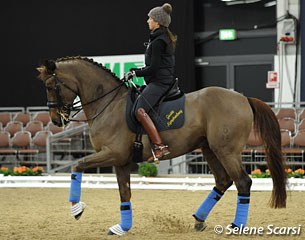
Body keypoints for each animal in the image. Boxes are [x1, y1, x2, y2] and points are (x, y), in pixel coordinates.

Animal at [36, 56, 286, 236]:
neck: (109, 104)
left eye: (51, 85)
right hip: (210, 149)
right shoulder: (121, 160)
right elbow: (124, 193)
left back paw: (236, 226)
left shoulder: (112, 154)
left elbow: (77, 166)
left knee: (243, 182)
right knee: (223, 181)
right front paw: (122, 227)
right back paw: (199, 220)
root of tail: (243, 98)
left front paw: (76, 209)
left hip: (226, 151)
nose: (56, 120)